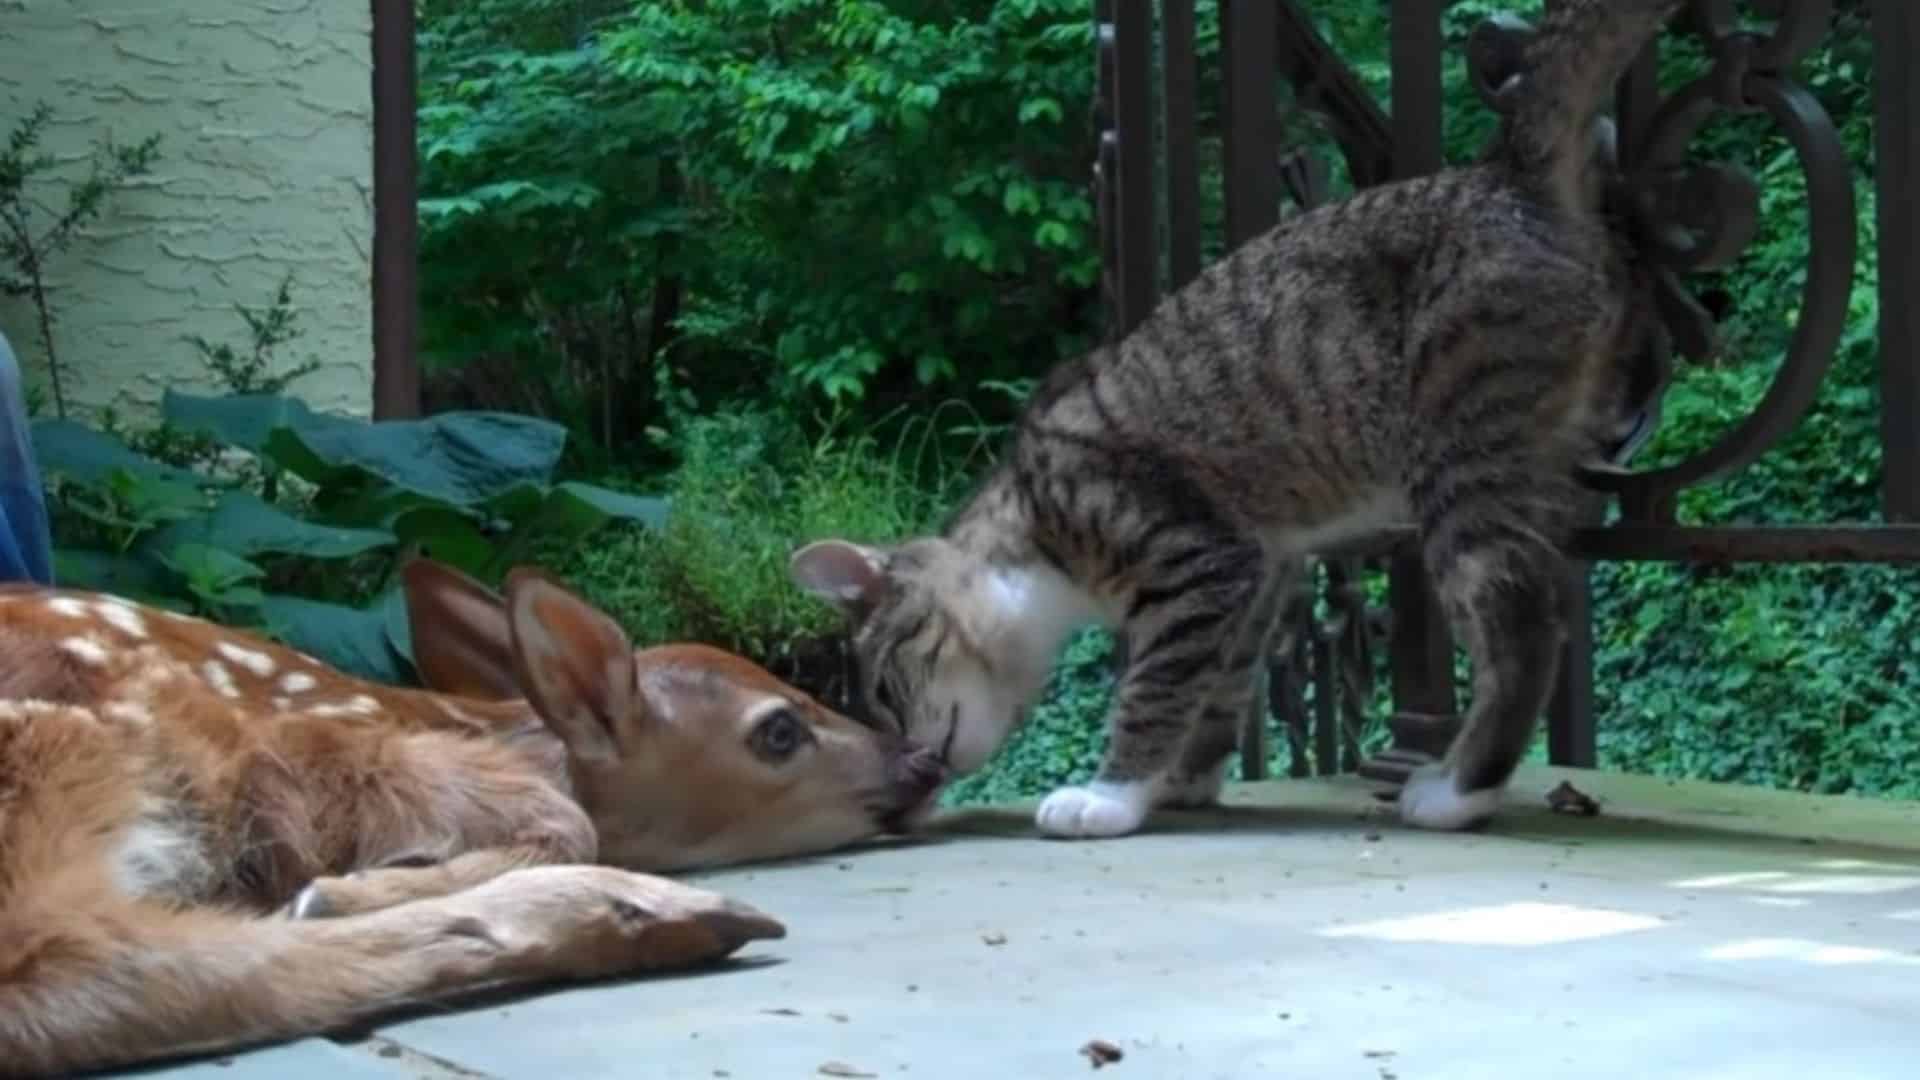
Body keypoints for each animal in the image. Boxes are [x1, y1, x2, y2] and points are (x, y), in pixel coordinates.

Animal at [794, 0, 1681, 834]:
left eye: (882, 687)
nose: (914, 768)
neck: (1031, 529)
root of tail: (1505, 172)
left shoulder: (1193, 556)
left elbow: (1153, 688)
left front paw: (1110, 794)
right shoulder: (1261, 570)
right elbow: (1220, 690)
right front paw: (1182, 779)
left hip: (1462, 460)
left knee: (1523, 631)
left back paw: (1460, 788)